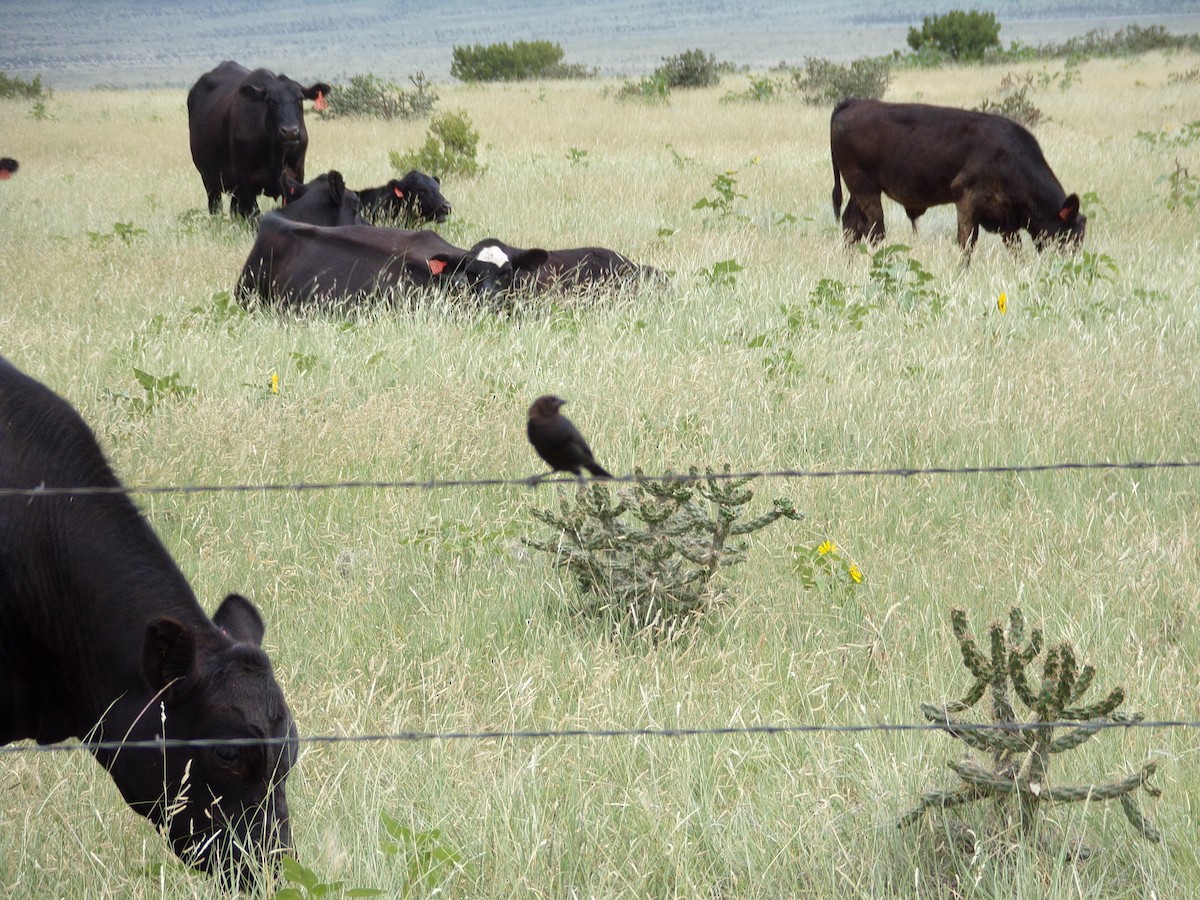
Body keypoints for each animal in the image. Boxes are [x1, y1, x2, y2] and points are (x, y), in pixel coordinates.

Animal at [187, 60, 331, 219]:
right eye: (270, 101)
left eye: (299, 99)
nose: (289, 131)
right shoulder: (244, 181)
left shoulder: (297, 175)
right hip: (209, 180)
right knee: (216, 206)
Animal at [830, 99, 1084, 254]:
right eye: (1069, 235)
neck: (1010, 156)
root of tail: (853, 103)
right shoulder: (967, 201)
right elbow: (967, 242)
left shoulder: (1006, 218)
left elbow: (1014, 247)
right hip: (866, 191)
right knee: (875, 230)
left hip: (860, 192)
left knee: (852, 225)